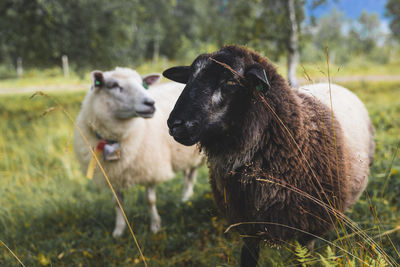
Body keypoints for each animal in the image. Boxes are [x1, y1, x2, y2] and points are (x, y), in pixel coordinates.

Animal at [73, 68, 203, 238]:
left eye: (144, 85)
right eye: (115, 85)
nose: (151, 103)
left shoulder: (150, 167)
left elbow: (150, 200)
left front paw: (155, 226)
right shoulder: (113, 173)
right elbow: (118, 203)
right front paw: (118, 230)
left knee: (191, 174)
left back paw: (186, 197)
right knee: (188, 173)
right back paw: (185, 197)